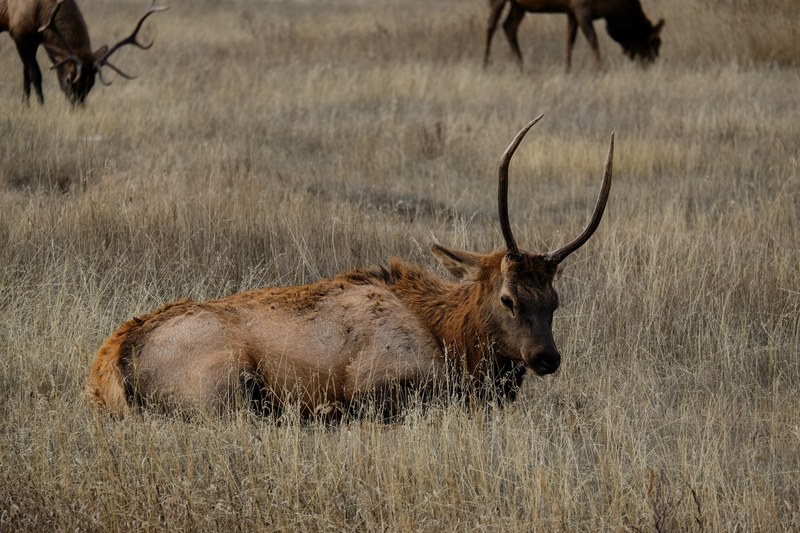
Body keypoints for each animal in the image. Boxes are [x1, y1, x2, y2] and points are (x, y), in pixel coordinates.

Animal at [0, 0, 167, 106]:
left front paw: (25, 106)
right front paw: (41, 107)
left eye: (91, 83)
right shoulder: (18, 32)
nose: (77, 107)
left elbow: (26, 74)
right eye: (68, 79)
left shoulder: (34, 39)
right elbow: (34, 73)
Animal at [86, 116, 615, 420]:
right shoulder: (377, 381)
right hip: (224, 381)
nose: (547, 357)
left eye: (554, 301)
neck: (450, 338)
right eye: (508, 298)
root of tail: (109, 366)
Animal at [484, 0, 664, 72]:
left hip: (519, 5)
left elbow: (569, 41)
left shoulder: (571, 10)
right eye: (654, 42)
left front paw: (567, 70)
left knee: (509, 27)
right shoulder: (581, 7)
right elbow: (592, 40)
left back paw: (520, 64)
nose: (651, 64)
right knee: (491, 26)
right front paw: (600, 68)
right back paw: (485, 63)